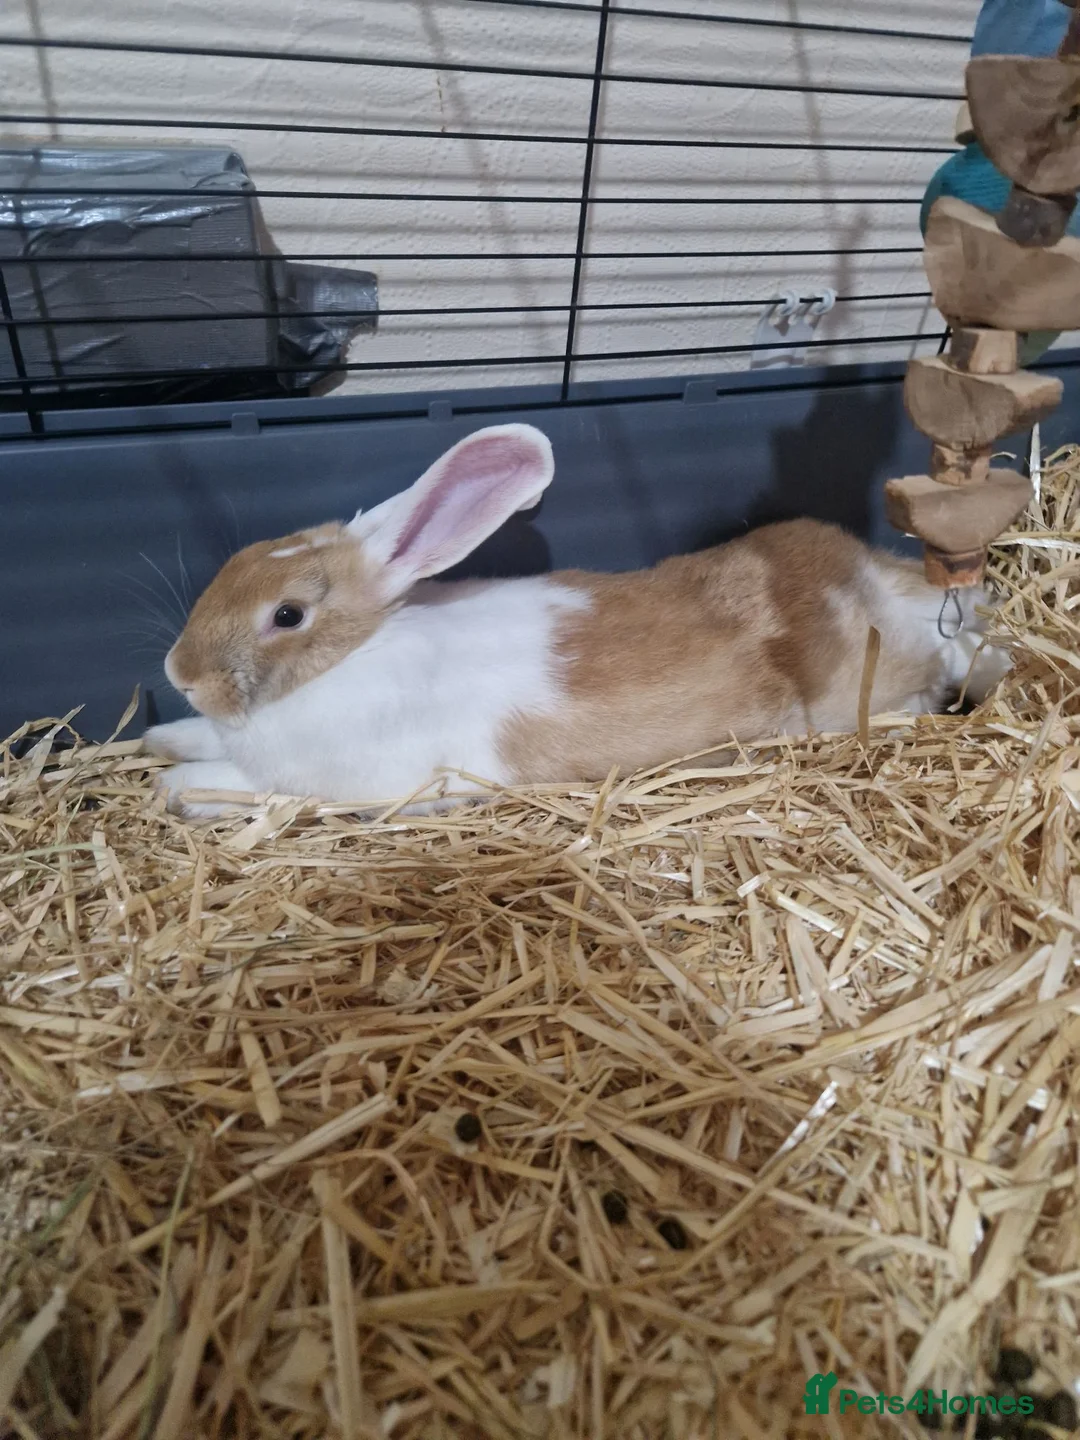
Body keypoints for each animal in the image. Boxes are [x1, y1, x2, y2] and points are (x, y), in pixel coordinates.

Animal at [143, 422, 1012, 819]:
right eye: (242, 557)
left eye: (287, 615)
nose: (178, 674)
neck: (355, 651)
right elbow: (198, 743)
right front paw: (158, 739)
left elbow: (239, 784)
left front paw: (175, 787)